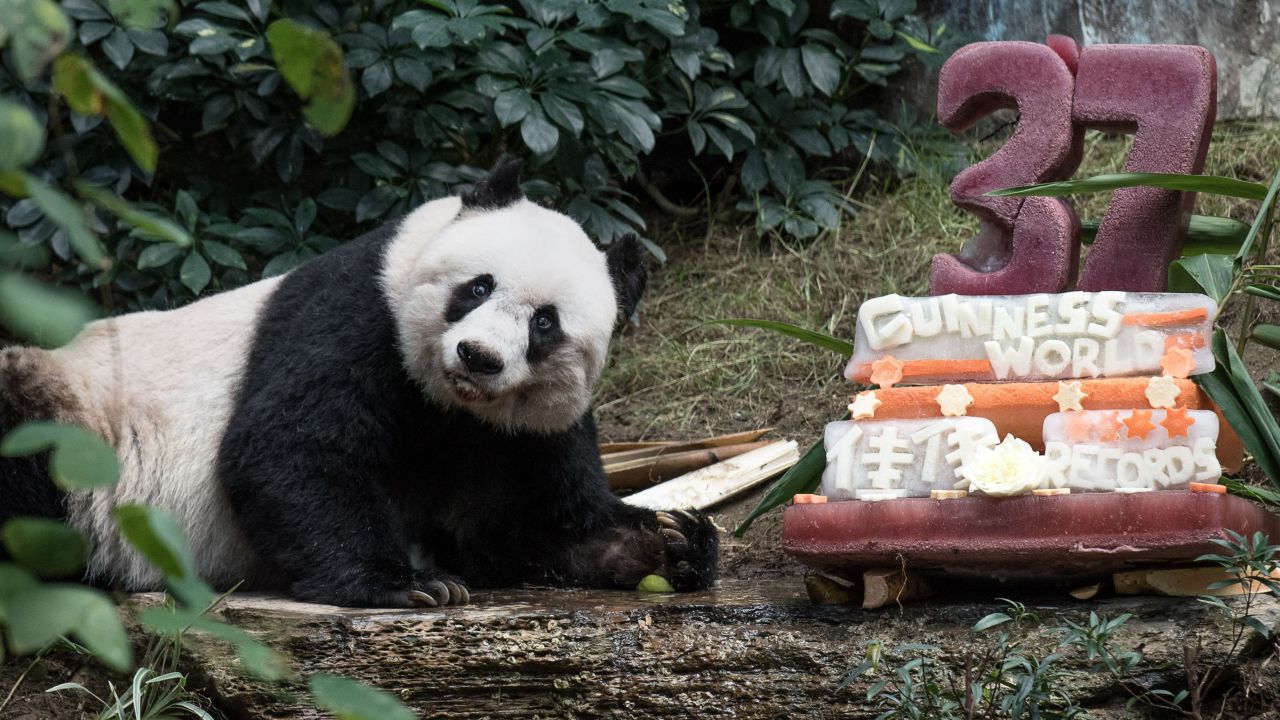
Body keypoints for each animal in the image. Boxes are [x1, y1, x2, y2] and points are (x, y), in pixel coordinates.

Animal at [0, 159, 721, 602]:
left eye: (545, 323)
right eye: (477, 287)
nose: (480, 356)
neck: (451, 404)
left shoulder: (526, 429)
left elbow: (534, 523)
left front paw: (671, 542)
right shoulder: (356, 317)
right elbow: (292, 446)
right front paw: (406, 584)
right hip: (75, 418)